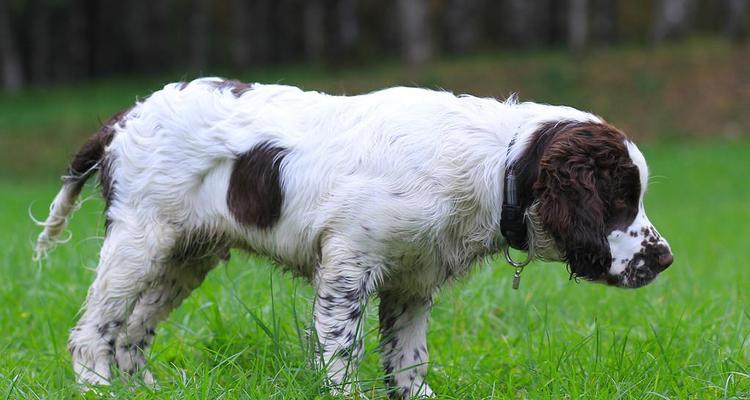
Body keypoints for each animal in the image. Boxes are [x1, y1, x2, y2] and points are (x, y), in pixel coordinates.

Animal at [33, 78, 676, 396]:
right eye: (621, 199)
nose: (666, 259)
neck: (496, 168)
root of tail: (125, 118)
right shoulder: (349, 266)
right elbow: (343, 351)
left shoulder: (411, 282)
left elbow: (409, 360)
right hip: (139, 240)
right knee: (94, 330)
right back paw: (97, 387)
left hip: (185, 255)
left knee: (132, 331)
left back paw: (147, 390)